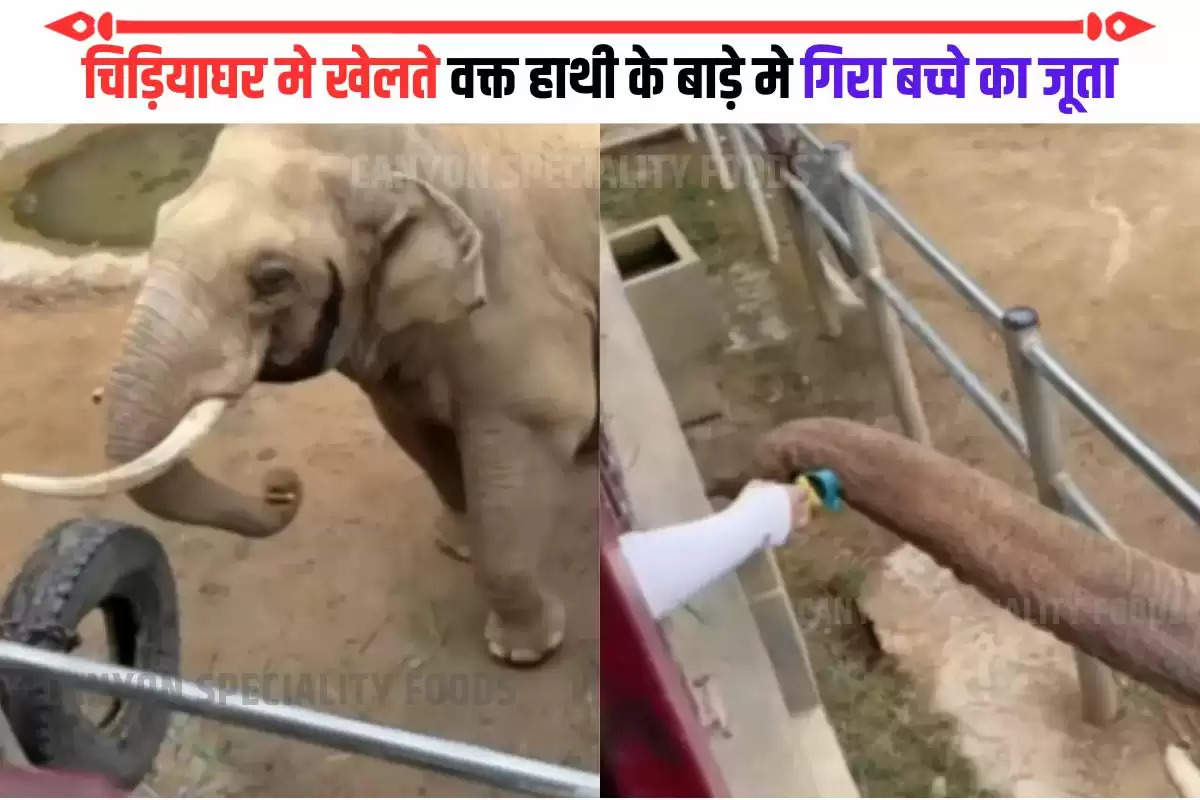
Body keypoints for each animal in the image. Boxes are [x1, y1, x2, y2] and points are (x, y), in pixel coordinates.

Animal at [0, 123, 600, 662]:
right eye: (158, 226)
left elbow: (530, 425)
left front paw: (524, 652)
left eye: (272, 277)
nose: (281, 486)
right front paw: (457, 543)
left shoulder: (517, 291)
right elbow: (415, 431)